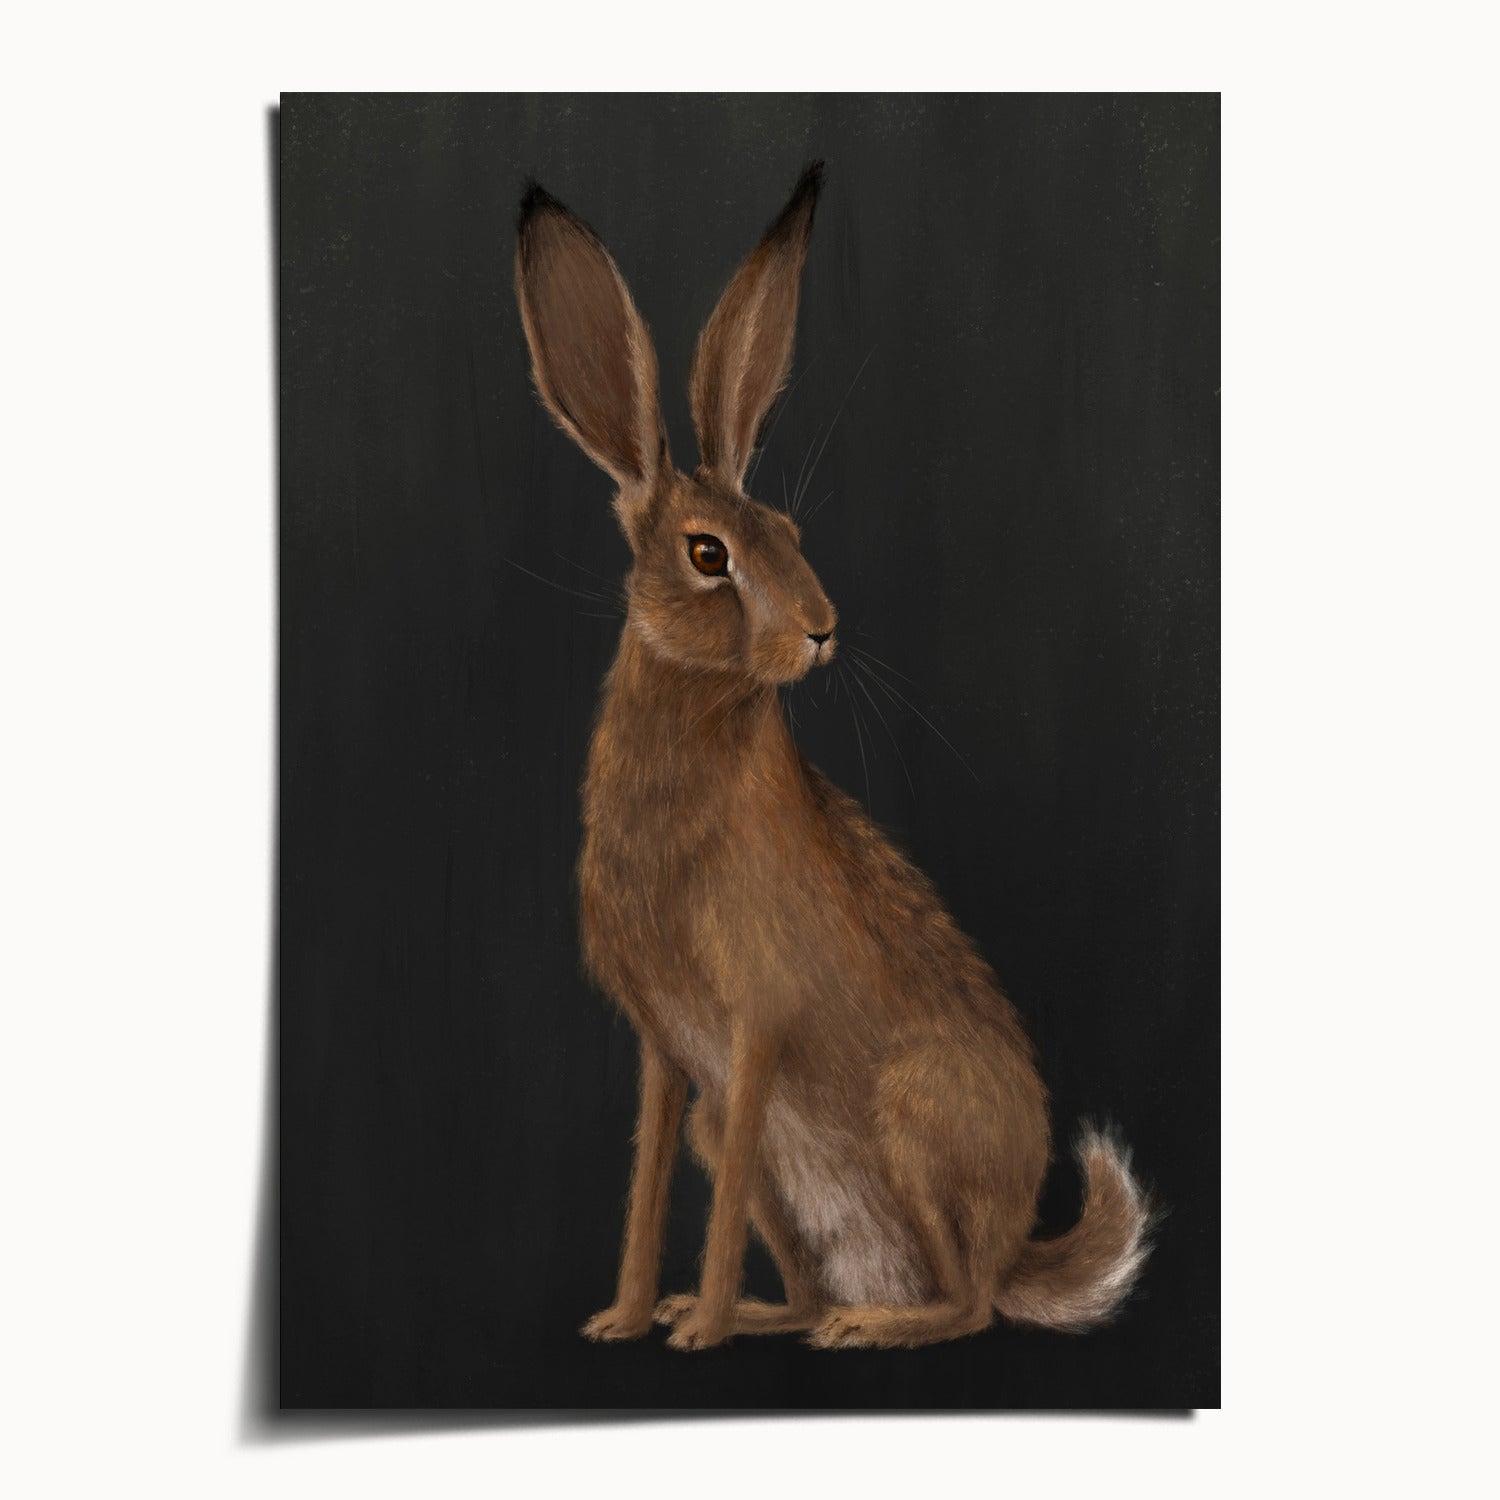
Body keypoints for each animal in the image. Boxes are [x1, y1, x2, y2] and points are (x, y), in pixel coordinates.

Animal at [513, 162, 1153, 1351]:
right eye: (708, 553)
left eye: (793, 534)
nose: (821, 629)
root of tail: (1016, 1246)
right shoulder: (671, 1057)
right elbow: (649, 1181)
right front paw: (628, 1318)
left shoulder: (755, 1027)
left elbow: (709, 1198)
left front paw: (695, 1334)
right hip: (770, 1146)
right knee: (821, 1273)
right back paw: (776, 1314)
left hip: (914, 1116)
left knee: (969, 1306)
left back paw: (869, 1326)